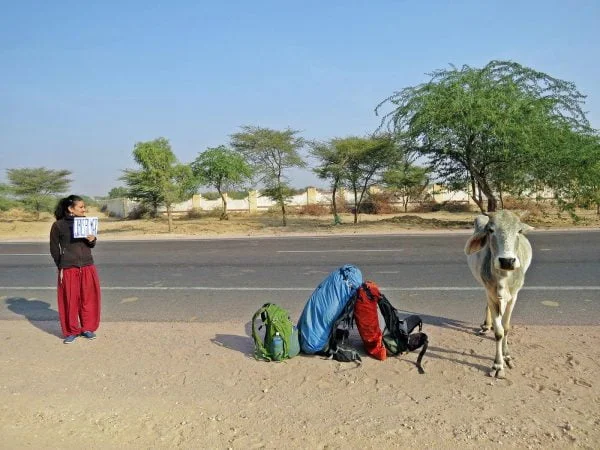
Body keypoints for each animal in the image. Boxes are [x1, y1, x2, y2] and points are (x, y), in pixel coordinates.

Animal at [464, 209, 536, 378]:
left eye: (519, 230)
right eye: (491, 230)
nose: (507, 261)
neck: (504, 276)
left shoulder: (514, 296)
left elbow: (506, 327)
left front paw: (507, 356)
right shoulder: (491, 294)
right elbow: (499, 332)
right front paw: (497, 364)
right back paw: (486, 325)